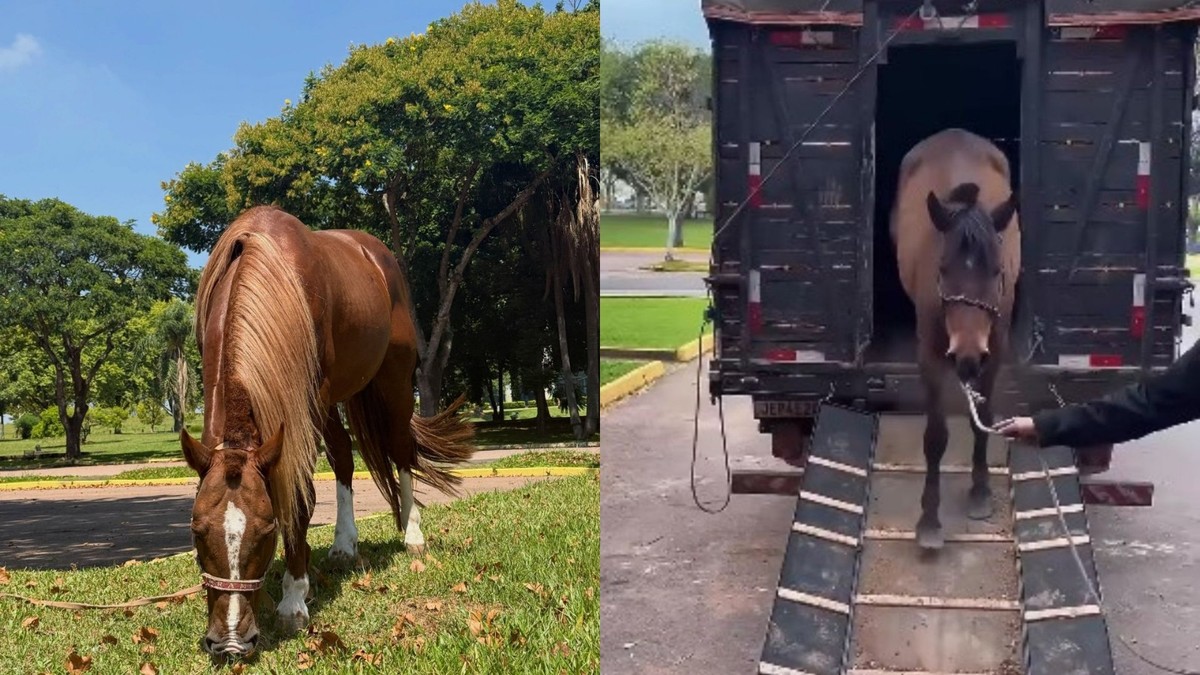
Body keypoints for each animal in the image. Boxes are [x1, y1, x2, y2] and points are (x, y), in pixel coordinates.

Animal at [180, 206, 475, 656]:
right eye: (197, 532)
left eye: (267, 531)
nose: (230, 641)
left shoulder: (308, 400)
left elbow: (301, 497)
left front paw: (294, 598)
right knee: (343, 458)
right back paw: (343, 545)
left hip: (391, 382)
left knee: (401, 451)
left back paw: (412, 534)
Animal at [890, 128, 1021, 551]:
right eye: (944, 269)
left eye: (997, 271)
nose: (966, 354)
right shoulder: (930, 356)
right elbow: (935, 436)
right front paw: (929, 520)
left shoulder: (995, 352)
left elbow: (985, 419)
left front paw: (980, 492)